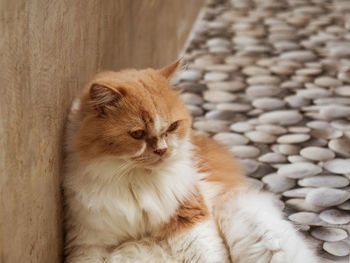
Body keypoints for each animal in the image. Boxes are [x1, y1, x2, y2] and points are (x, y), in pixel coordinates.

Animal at [63, 60, 320, 262]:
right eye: (137, 134)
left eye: (172, 127)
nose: (162, 151)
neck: (134, 182)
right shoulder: (89, 241)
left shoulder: (190, 219)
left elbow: (208, 254)